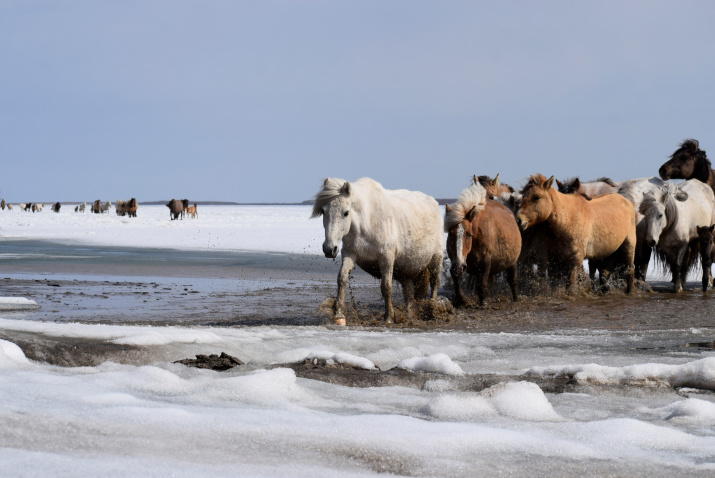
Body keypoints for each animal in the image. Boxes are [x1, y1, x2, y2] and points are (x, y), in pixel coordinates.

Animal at [312, 177, 444, 324]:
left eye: (346, 213)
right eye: (323, 211)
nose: (329, 249)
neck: (367, 221)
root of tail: (433, 202)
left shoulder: (386, 258)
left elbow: (386, 287)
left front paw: (388, 317)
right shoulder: (350, 254)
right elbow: (342, 278)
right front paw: (339, 314)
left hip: (436, 258)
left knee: (435, 282)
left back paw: (432, 310)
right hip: (406, 270)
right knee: (409, 294)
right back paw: (410, 316)